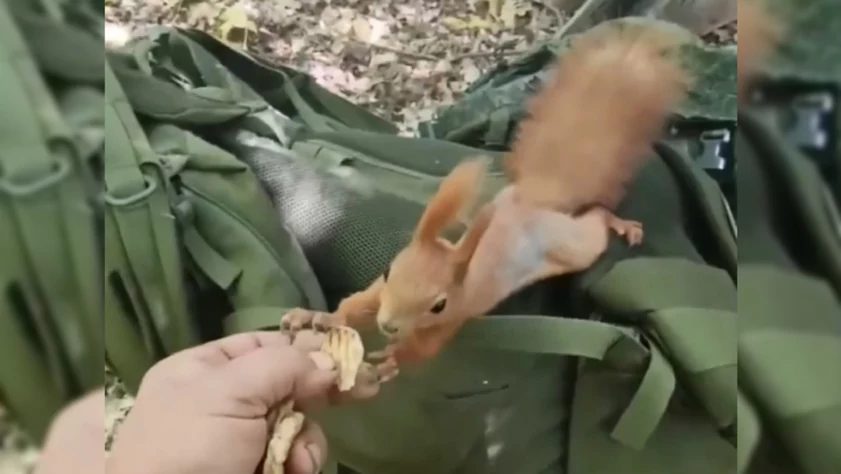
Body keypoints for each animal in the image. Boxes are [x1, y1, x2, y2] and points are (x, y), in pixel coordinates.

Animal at [281, 21, 693, 382]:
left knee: (596, 221)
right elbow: (353, 305)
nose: (388, 325)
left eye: (440, 305)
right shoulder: (379, 294)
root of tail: (534, 199)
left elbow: (424, 352)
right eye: (387, 271)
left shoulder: (454, 321)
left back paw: (621, 224)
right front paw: (316, 317)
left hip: (575, 247)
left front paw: (394, 358)